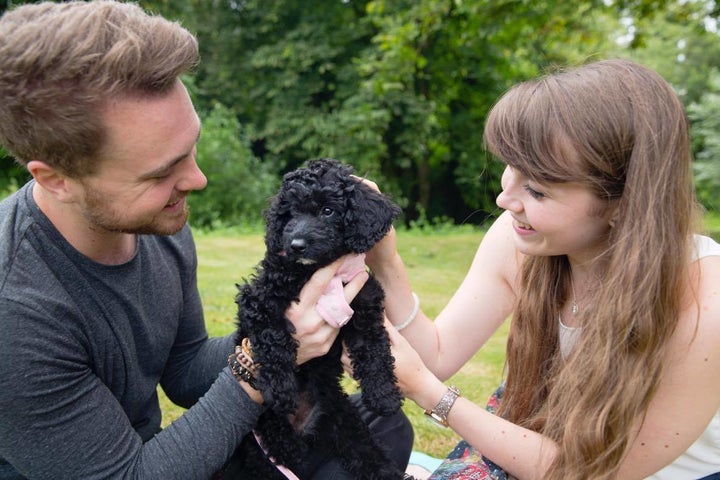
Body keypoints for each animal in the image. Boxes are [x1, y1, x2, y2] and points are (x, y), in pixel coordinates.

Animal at [232, 159, 408, 478]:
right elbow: (274, 340)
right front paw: (280, 389)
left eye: (328, 210)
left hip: (341, 415)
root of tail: (306, 429)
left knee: (364, 450)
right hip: (260, 444)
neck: (318, 271)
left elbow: (374, 351)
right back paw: (288, 442)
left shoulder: (364, 306)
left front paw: (384, 395)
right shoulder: (259, 300)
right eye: (290, 213)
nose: (296, 244)